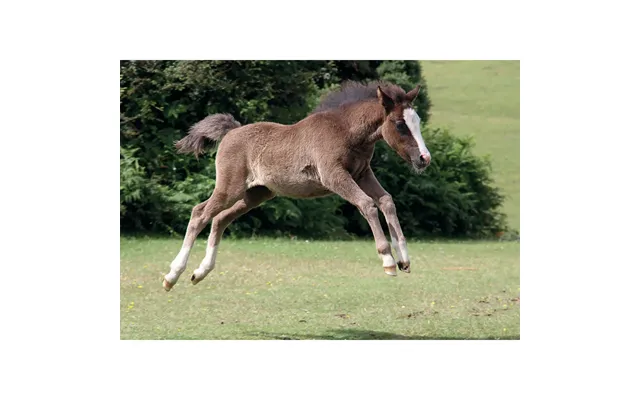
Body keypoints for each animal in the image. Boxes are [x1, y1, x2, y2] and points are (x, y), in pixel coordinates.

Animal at [162, 81, 432, 291]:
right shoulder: (334, 176)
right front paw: (388, 260)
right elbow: (367, 204)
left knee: (220, 219)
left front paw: (404, 259)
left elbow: (386, 201)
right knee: (199, 213)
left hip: (256, 194)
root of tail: (232, 131)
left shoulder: (363, 174)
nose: (424, 159)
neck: (346, 131)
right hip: (230, 188)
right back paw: (172, 275)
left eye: (417, 121)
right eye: (399, 124)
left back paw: (200, 272)